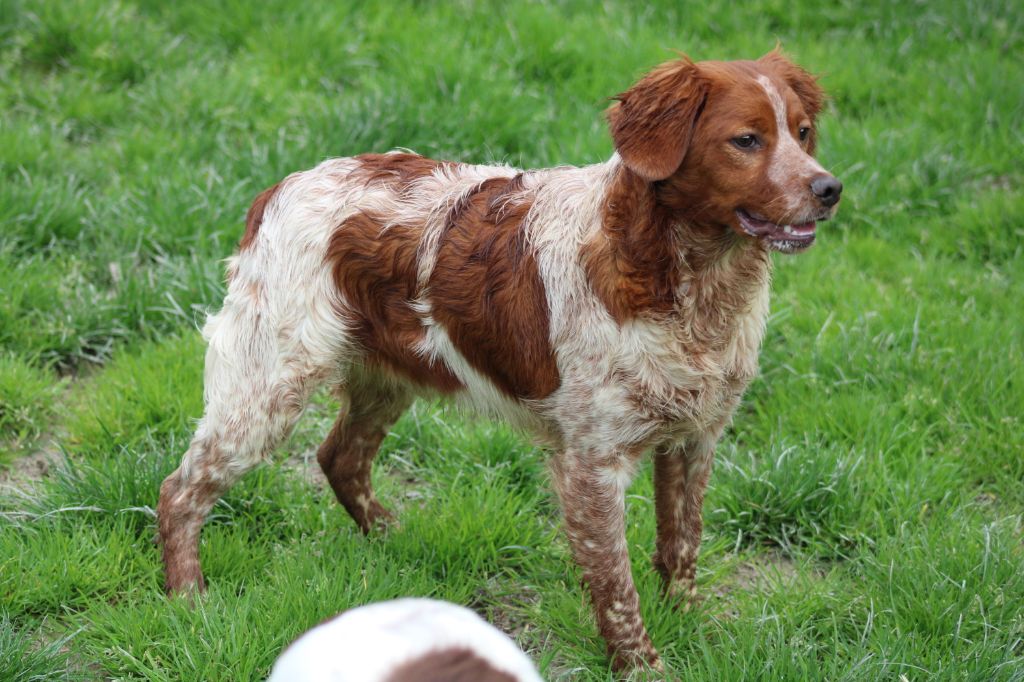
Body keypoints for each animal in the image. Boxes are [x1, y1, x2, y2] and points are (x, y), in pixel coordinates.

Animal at [157, 51, 839, 667]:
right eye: (745, 140)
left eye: (803, 132)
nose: (830, 188)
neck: (691, 285)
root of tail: (279, 187)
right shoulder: (593, 461)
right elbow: (616, 586)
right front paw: (643, 665)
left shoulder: (696, 436)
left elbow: (682, 543)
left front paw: (690, 622)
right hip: (268, 386)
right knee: (181, 490)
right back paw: (190, 601)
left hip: (385, 379)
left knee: (339, 457)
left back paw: (396, 542)